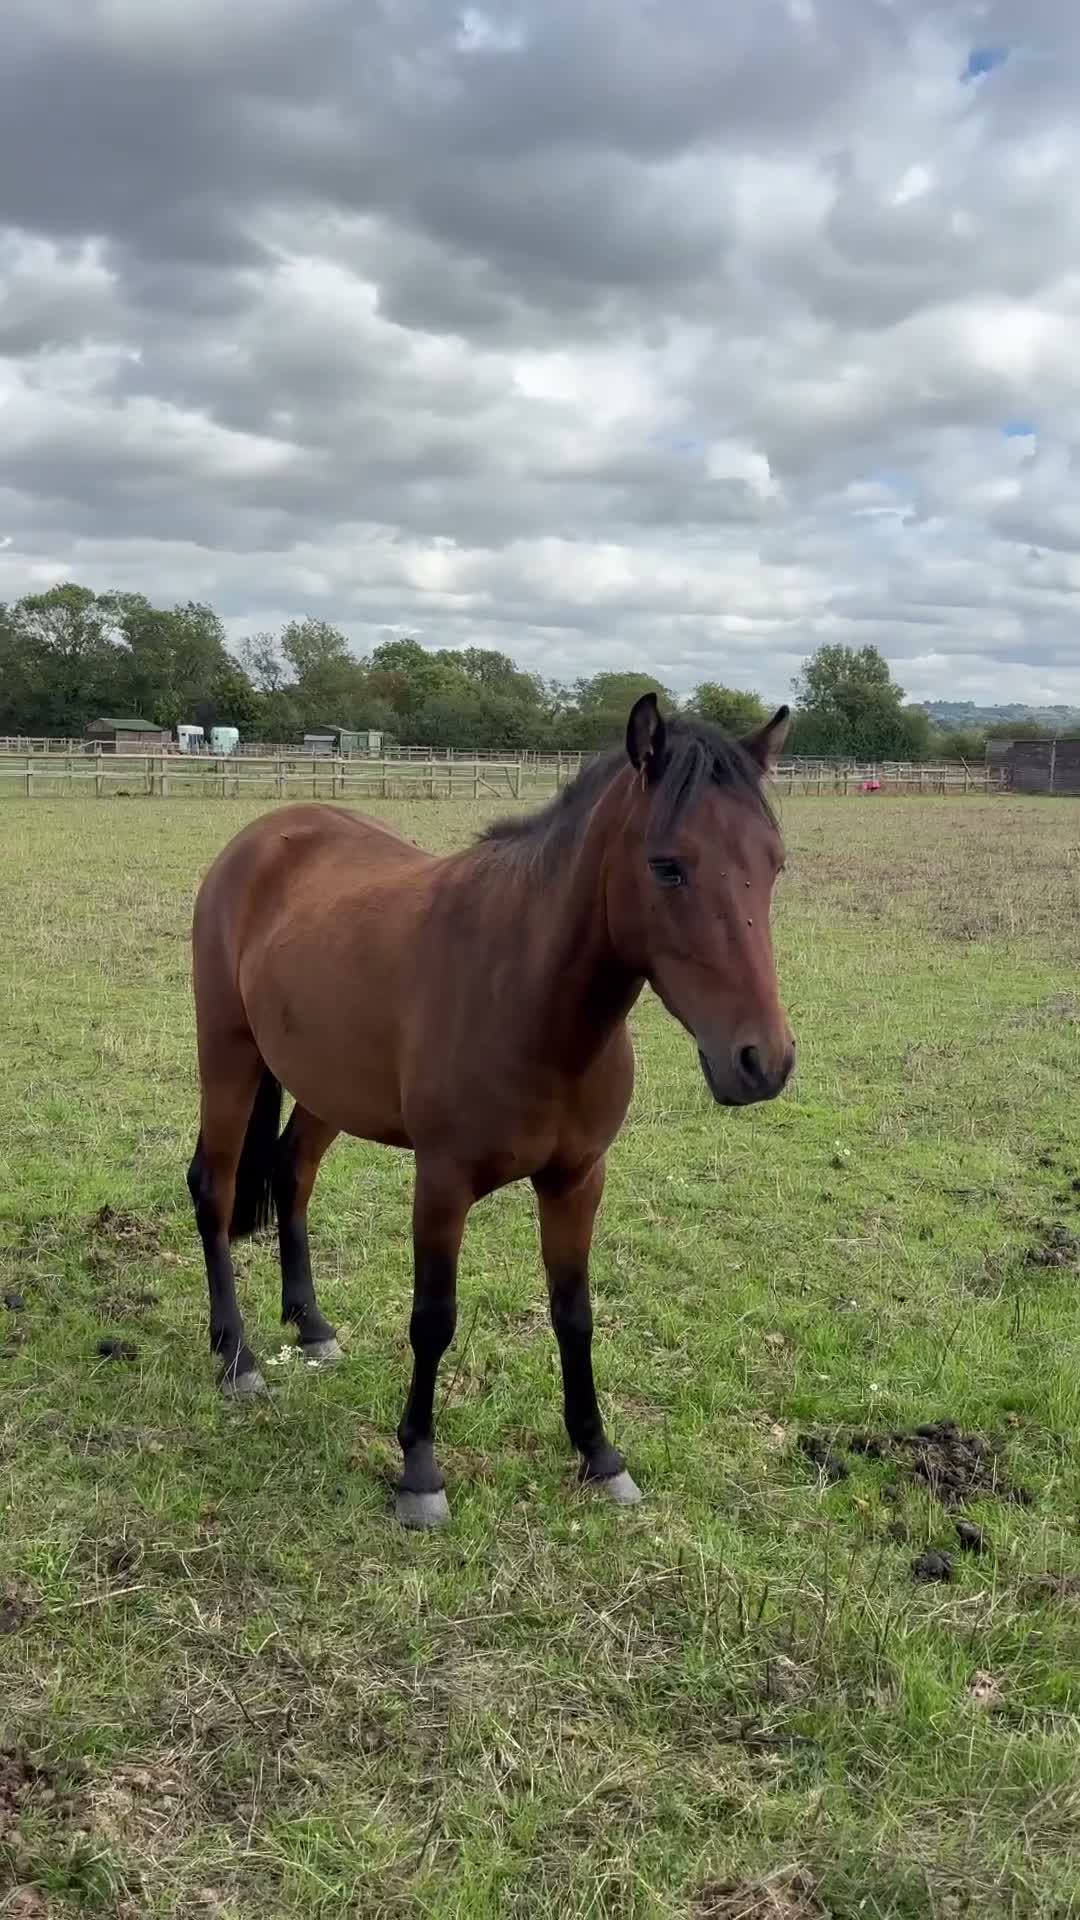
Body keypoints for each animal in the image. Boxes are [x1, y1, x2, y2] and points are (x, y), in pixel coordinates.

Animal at [187, 694, 795, 1528]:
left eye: (774, 865)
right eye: (667, 866)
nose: (762, 1062)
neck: (528, 997)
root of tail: (261, 838)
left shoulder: (577, 1181)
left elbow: (574, 1314)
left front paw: (600, 1455)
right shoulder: (442, 1183)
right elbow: (433, 1319)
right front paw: (419, 1472)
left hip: (325, 1087)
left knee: (292, 1175)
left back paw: (310, 1327)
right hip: (230, 1059)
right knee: (213, 1191)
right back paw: (236, 1356)